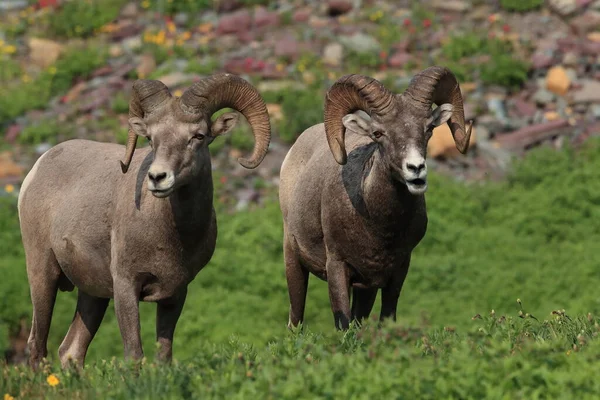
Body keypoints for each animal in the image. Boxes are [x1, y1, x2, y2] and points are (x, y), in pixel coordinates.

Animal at [18, 72, 272, 368]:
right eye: (151, 138)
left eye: (198, 136)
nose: (157, 177)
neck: (173, 236)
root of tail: (38, 168)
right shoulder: (126, 286)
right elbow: (134, 355)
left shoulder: (175, 294)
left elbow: (164, 355)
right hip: (43, 275)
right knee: (37, 345)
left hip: (92, 295)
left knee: (71, 350)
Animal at [280, 66, 474, 328]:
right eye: (378, 133)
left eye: (428, 129)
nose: (416, 168)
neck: (379, 229)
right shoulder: (337, 267)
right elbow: (343, 323)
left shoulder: (395, 272)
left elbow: (386, 317)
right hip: (293, 261)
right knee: (296, 319)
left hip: (366, 290)